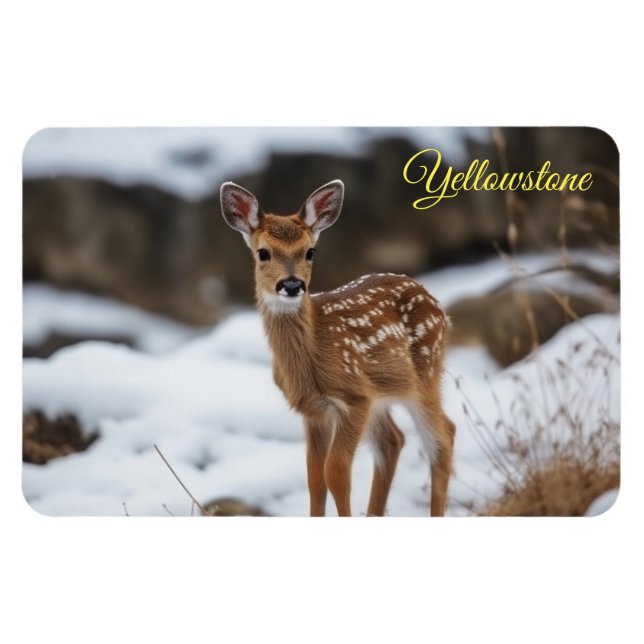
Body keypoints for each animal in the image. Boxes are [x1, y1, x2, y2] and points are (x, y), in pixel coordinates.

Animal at [220, 179, 456, 517]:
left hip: (424, 376)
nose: (291, 285)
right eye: (263, 253)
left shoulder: (355, 397)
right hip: (384, 394)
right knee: (393, 440)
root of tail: (438, 306)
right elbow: (315, 478)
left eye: (310, 252)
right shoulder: (315, 410)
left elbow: (336, 473)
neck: (313, 354)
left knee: (443, 437)